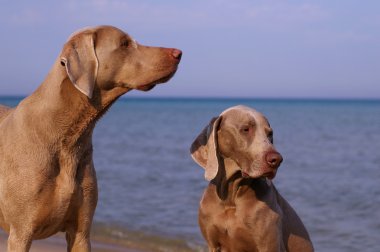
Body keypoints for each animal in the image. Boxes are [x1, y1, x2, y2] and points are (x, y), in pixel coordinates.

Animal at [191, 105, 314, 251]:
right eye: (246, 129)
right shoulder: (213, 244)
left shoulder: (269, 245)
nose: (277, 160)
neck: (231, 197)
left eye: (270, 134)